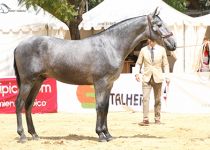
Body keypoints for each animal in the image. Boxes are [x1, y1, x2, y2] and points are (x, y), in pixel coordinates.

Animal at [13, 8, 176, 143]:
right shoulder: (100, 83)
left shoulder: (109, 84)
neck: (111, 45)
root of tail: (19, 46)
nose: (173, 44)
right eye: (159, 24)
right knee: (20, 103)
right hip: (28, 81)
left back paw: (34, 134)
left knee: (28, 105)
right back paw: (22, 135)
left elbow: (106, 107)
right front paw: (101, 134)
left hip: (38, 81)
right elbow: (99, 106)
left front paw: (108, 134)